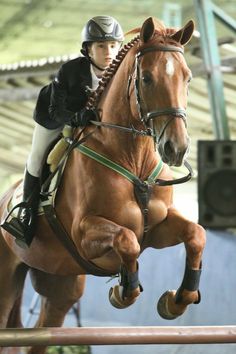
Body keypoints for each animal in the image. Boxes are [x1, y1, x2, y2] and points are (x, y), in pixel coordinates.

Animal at [0, 17, 205, 354]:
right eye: (146, 78)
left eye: (187, 78)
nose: (176, 148)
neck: (133, 161)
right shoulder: (85, 233)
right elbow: (126, 240)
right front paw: (122, 293)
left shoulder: (157, 227)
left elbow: (196, 234)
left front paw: (176, 301)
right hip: (8, 277)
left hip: (60, 283)